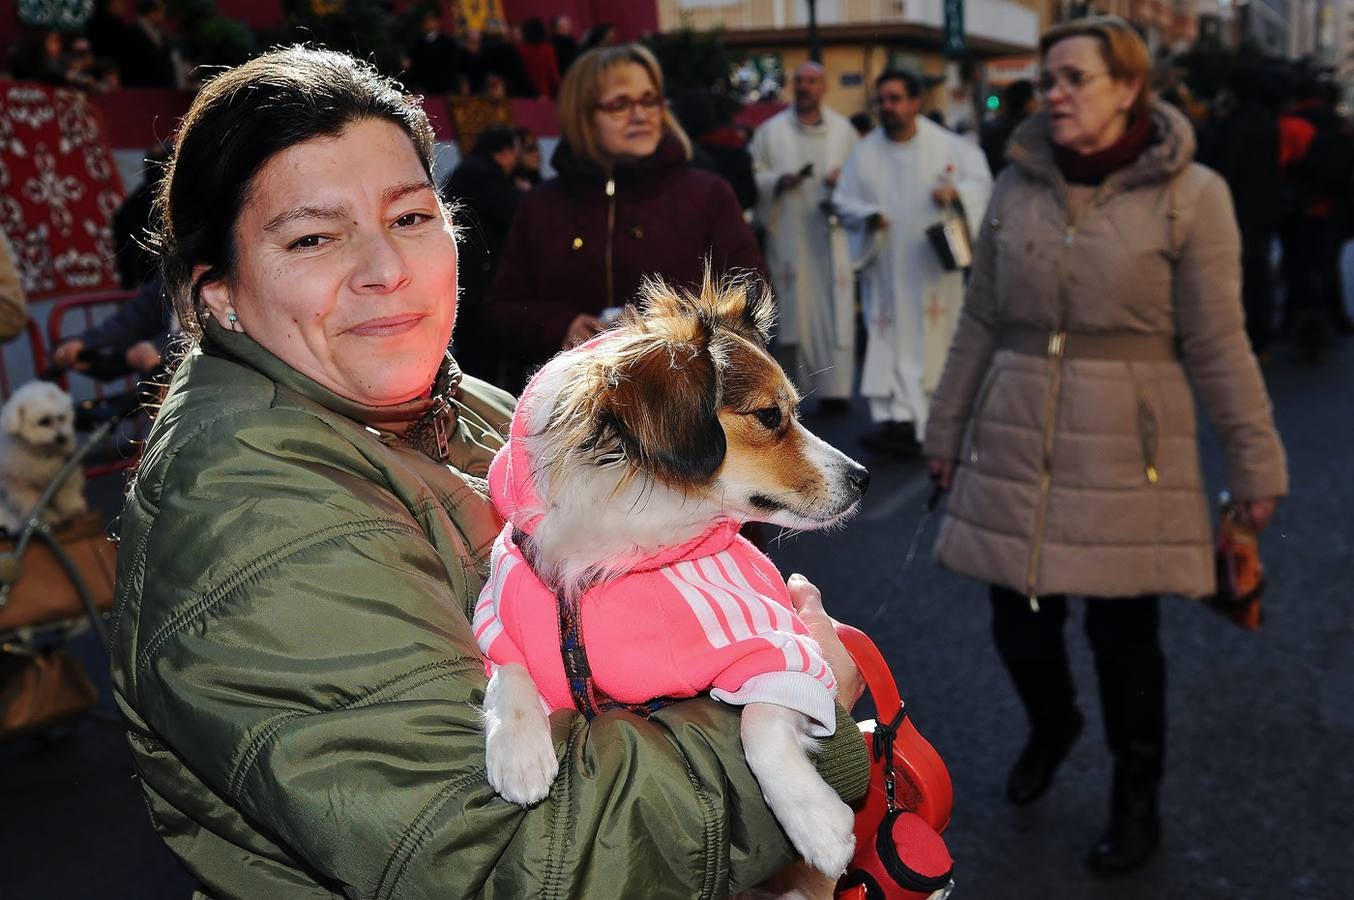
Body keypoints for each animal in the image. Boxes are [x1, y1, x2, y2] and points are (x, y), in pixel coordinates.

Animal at [0, 378, 86, 533]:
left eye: (62, 418)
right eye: (44, 422)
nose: (62, 438)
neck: (43, 452)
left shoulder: (66, 471)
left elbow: (68, 491)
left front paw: (72, 508)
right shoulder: (21, 486)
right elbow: (34, 504)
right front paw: (49, 519)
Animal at [476, 272, 871, 876]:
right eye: (769, 417)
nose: (864, 478)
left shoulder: (781, 644)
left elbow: (760, 721)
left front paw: (817, 822)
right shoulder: (501, 608)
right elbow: (508, 666)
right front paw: (517, 747)